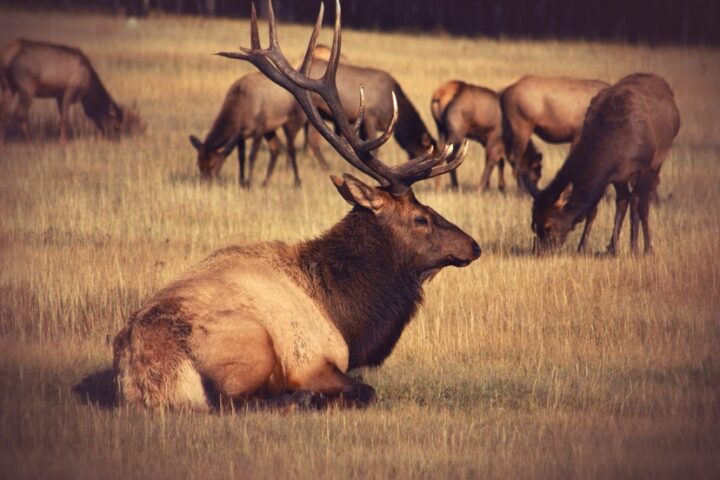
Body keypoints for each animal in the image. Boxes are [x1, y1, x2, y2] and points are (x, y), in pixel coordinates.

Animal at [1, 38, 129, 144]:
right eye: (116, 125)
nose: (117, 140)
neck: (88, 90)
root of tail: (6, 56)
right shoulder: (69, 90)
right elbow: (65, 117)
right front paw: (63, 141)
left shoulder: (59, 95)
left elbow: (61, 116)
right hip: (27, 87)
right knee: (20, 112)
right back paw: (30, 141)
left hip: (8, 88)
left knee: (4, 111)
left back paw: (3, 142)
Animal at [113, 0, 480, 412]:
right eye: (421, 218)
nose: (473, 245)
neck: (348, 317)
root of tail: (146, 378)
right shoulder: (315, 359)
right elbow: (365, 389)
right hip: (249, 343)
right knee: (244, 401)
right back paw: (304, 399)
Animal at [530, 73, 680, 255]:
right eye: (533, 226)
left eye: (548, 226)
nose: (538, 252)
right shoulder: (613, 175)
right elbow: (595, 209)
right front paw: (583, 247)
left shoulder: (645, 168)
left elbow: (641, 206)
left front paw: (643, 249)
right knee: (624, 200)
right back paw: (613, 248)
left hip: (658, 161)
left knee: (639, 201)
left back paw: (637, 247)